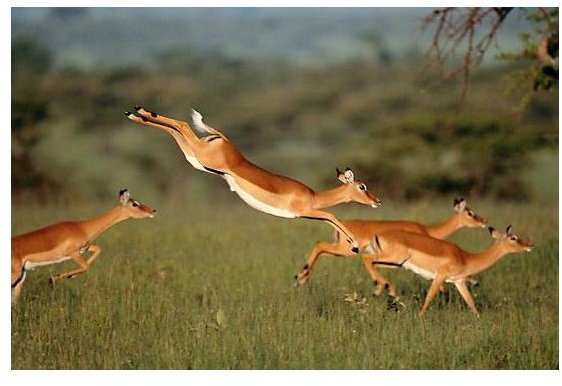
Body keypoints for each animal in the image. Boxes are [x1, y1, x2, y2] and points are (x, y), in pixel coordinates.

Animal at [10, 188, 155, 304]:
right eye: (135, 203)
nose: (153, 211)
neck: (82, 228)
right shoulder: (73, 253)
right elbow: (85, 266)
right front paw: (54, 278)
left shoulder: (85, 248)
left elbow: (97, 250)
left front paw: (70, 276)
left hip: (21, 278)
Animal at [126, 105, 380, 252]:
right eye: (362, 186)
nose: (377, 201)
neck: (313, 196)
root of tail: (224, 139)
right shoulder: (306, 211)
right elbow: (332, 215)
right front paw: (355, 245)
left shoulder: (309, 214)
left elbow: (331, 220)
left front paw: (354, 245)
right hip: (201, 156)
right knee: (182, 123)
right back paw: (136, 112)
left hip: (195, 158)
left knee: (175, 128)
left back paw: (135, 113)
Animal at [370, 225, 532, 318]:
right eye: (513, 238)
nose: (530, 245)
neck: (465, 258)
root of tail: (378, 235)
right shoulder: (439, 277)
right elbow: (429, 298)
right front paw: (420, 317)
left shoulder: (458, 282)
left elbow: (470, 302)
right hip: (394, 260)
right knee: (368, 259)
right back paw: (379, 290)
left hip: (394, 263)